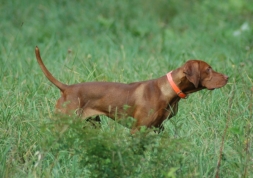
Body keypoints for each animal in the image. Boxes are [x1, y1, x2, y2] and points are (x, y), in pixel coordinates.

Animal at [35, 46, 227, 133]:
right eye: (209, 69)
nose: (227, 77)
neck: (168, 91)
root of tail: (67, 88)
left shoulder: (157, 129)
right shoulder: (138, 130)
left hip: (92, 124)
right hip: (63, 124)